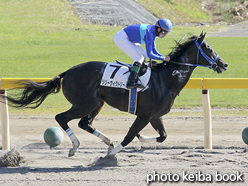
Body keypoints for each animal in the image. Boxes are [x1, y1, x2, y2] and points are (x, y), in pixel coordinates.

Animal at [5, 32, 228, 157]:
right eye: (208, 48)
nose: (224, 64)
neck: (166, 79)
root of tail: (67, 72)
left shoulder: (155, 116)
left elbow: (162, 136)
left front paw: (141, 139)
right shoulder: (144, 115)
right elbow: (129, 135)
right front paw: (113, 153)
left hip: (97, 103)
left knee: (84, 123)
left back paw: (106, 141)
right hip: (85, 103)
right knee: (62, 118)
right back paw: (76, 146)